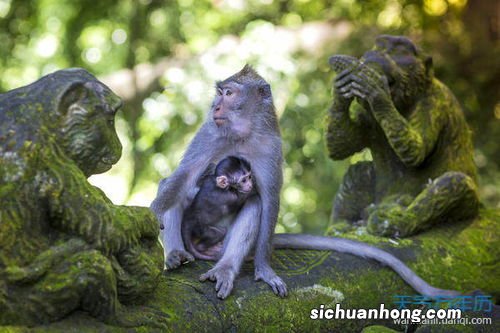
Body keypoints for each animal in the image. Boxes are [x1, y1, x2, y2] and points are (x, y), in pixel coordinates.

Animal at [326, 35, 478, 236]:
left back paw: (394, 221)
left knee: (453, 183)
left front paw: (376, 89)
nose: (372, 56)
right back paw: (339, 226)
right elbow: (342, 145)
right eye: (378, 47)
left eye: (398, 52)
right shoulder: (364, 109)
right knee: (360, 171)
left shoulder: (434, 101)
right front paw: (340, 89)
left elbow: (417, 151)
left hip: (469, 205)